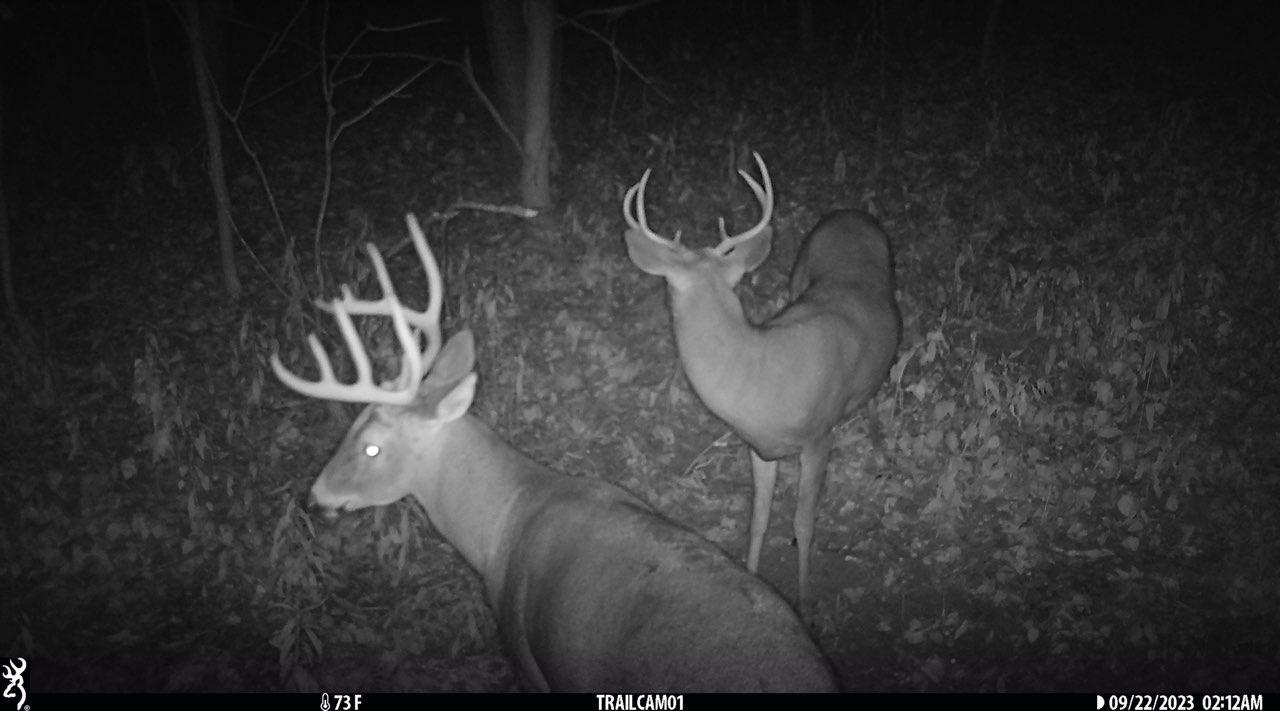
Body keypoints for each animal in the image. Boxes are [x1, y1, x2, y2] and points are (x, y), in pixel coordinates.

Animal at [622, 153, 901, 605]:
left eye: (669, 286)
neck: (762, 378)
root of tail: (851, 212)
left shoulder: (819, 437)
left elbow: (803, 524)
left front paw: (804, 602)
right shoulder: (759, 447)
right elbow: (758, 520)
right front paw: (752, 580)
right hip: (797, 277)